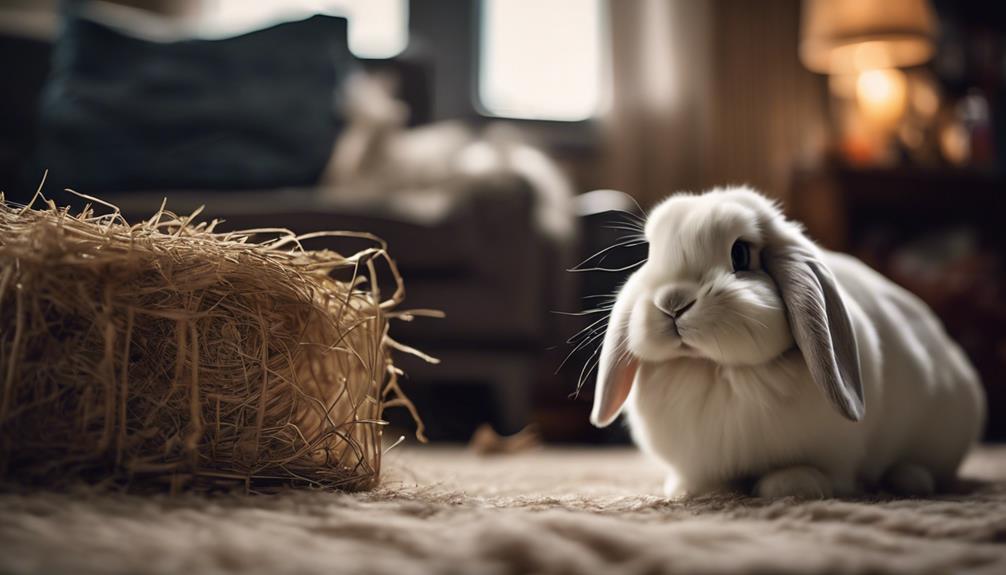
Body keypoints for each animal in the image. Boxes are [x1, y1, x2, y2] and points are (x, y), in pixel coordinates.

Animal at [590, 186, 986, 499]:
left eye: (740, 254)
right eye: (651, 256)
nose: (672, 303)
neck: (721, 371)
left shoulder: (834, 458)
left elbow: (812, 474)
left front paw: (793, 486)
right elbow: (704, 481)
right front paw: (691, 491)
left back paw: (908, 479)